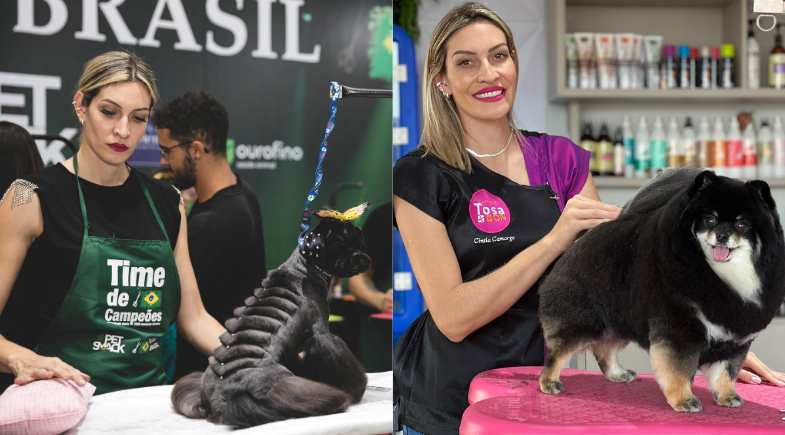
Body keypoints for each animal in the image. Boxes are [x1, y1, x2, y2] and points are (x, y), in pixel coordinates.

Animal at [172, 205, 371, 427]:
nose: (364, 259)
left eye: (359, 238)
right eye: (342, 243)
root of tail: (218, 400)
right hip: (290, 388)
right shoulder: (321, 332)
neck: (306, 265)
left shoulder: (291, 347)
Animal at [537, 169, 785, 412]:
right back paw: (549, 382)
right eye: (710, 219)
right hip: (580, 322)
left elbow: (725, 373)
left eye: (742, 224)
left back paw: (618, 374)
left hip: (619, 322)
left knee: (604, 349)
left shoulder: (733, 341)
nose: (722, 235)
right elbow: (678, 371)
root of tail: (571, 250)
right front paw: (684, 400)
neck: (724, 276)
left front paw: (726, 396)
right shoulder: (679, 330)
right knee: (557, 354)